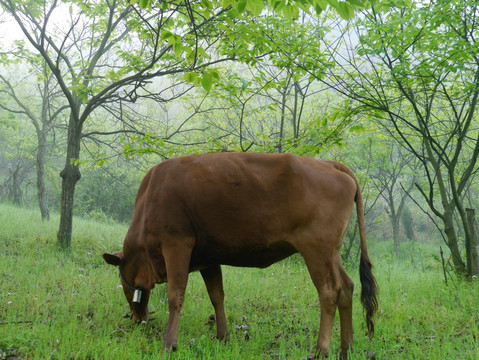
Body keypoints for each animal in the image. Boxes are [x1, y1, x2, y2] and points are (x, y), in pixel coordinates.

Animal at [104, 151, 378, 358]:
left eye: (124, 285)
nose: (136, 318)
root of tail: (330, 164)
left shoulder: (176, 244)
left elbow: (175, 296)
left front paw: (169, 343)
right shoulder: (208, 257)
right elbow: (217, 295)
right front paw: (223, 336)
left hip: (316, 249)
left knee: (330, 292)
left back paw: (322, 349)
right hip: (332, 252)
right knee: (348, 288)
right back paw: (346, 347)